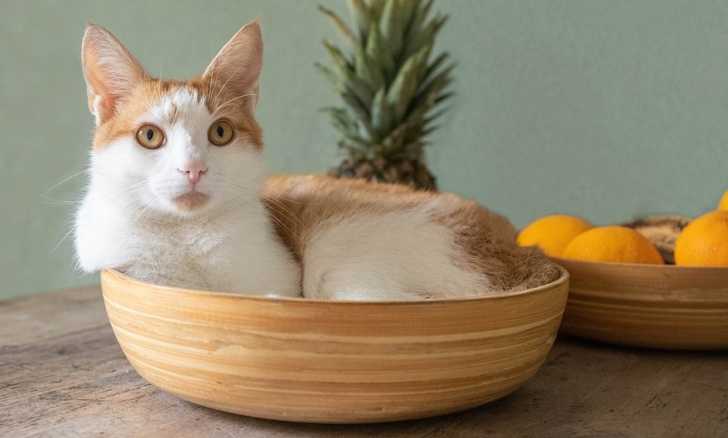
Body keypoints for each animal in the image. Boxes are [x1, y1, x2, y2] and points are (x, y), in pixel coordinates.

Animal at [72, 21, 556, 302]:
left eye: (220, 133)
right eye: (150, 136)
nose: (193, 168)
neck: (184, 237)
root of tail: (523, 251)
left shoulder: (284, 282)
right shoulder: (130, 264)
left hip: (338, 253)